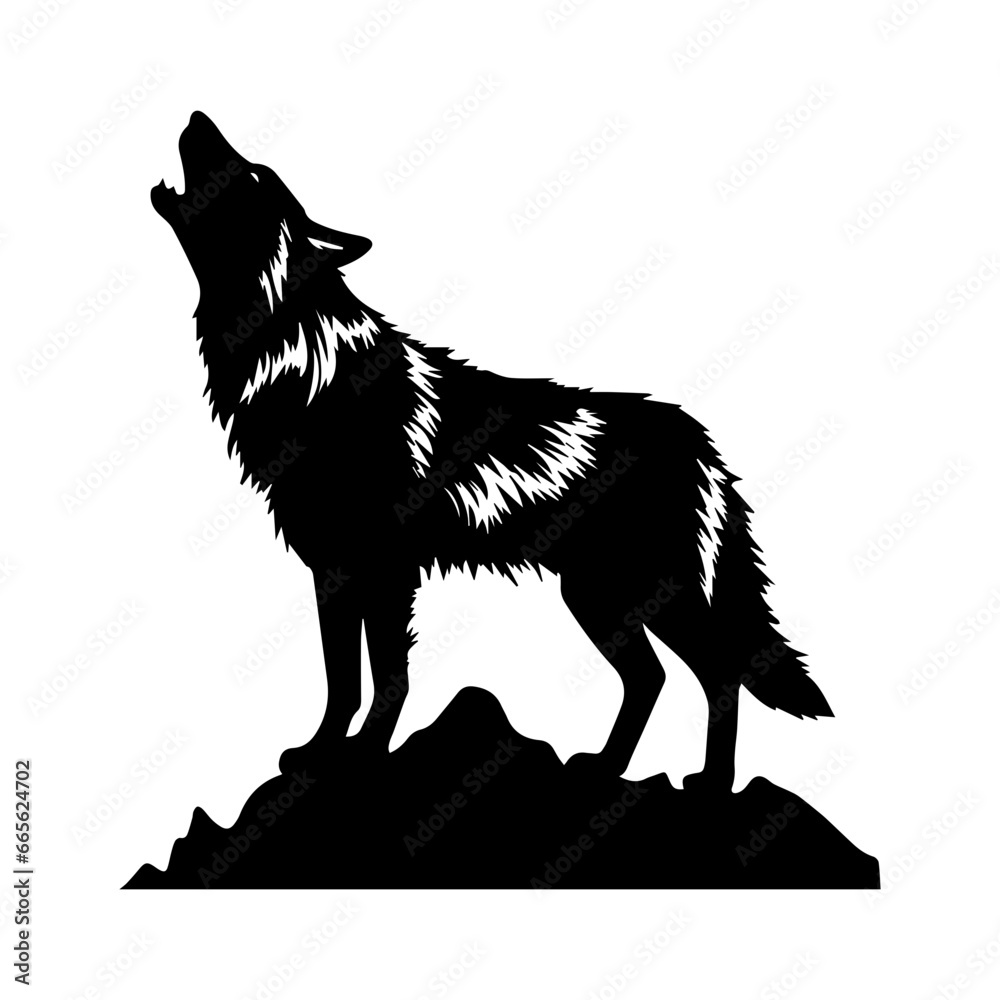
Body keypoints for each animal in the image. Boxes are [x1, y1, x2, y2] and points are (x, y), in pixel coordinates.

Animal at [152, 111, 832, 791]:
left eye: (252, 175)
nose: (196, 116)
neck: (300, 365)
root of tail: (699, 441)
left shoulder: (387, 570)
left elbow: (387, 678)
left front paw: (364, 756)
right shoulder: (333, 567)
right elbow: (342, 682)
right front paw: (320, 752)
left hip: (648, 595)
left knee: (718, 672)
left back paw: (712, 782)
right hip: (600, 597)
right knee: (653, 677)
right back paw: (606, 766)